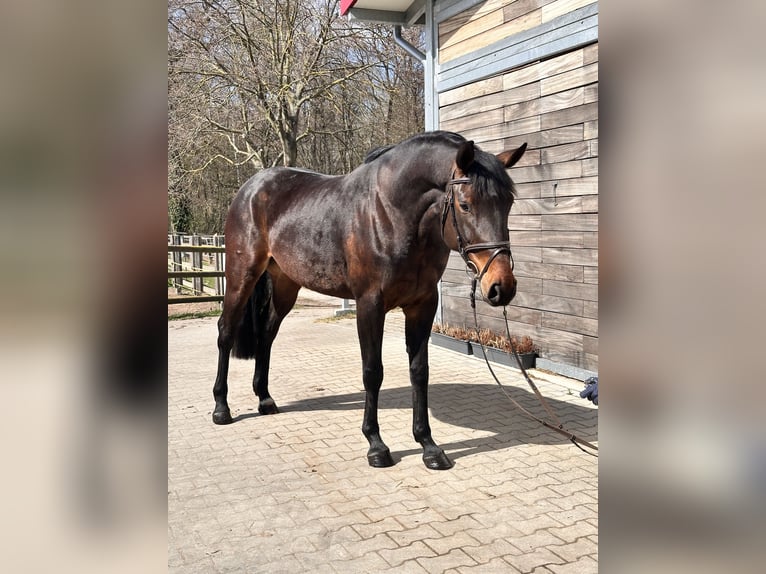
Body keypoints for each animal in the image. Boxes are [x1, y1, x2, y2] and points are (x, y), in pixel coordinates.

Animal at [212, 131, 527, 470]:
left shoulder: (422, 305)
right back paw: (221, 407)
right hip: (241, 276)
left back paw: (265, 399)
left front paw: (428, 446)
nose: (502, 286)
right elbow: (373, 371)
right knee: (225, 332)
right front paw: (376, 445)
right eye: (466, 205)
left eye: (509, 203)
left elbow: (419, 371)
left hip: (285, 285)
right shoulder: (369, 305)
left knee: (267, 336)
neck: (391, 214)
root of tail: (252, 188)